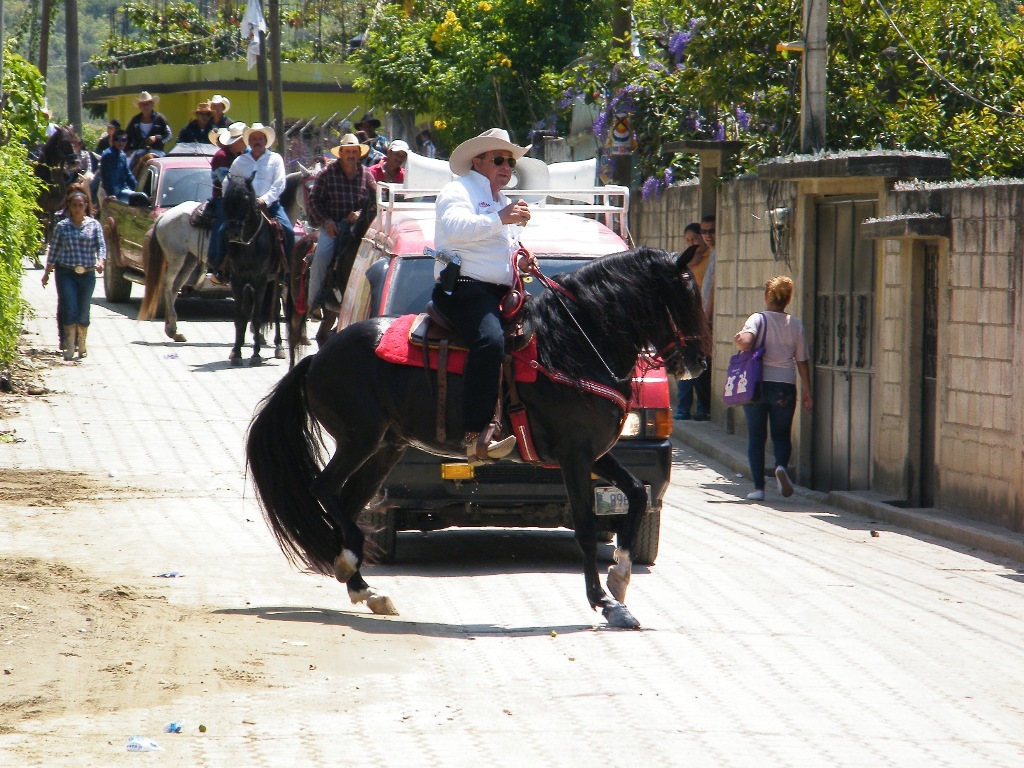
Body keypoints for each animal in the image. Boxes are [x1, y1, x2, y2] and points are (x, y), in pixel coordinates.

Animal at [224, 177, 284, 366]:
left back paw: (279, 346)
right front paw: (236, 352)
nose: (233, 233)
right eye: (226, 200)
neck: (249, 244)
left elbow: (257, 317)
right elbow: (240, 317)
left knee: (275, 310)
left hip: (278, 282)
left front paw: (256, 354)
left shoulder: (261, 280)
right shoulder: (237, 280)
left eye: (245, 201)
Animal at [247, 247, 712, 630]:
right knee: (324, 489)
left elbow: (634, 493)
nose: (700, 363)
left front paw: (620, 576)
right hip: (359, 439)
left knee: (345, 500)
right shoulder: (574, 455)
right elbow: (583, 525)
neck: (573, 346)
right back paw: (351, 566)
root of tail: (315, 359)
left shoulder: (595, 452)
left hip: (386, 447)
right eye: (686, 297)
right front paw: (605, 602)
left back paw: (366, 588)